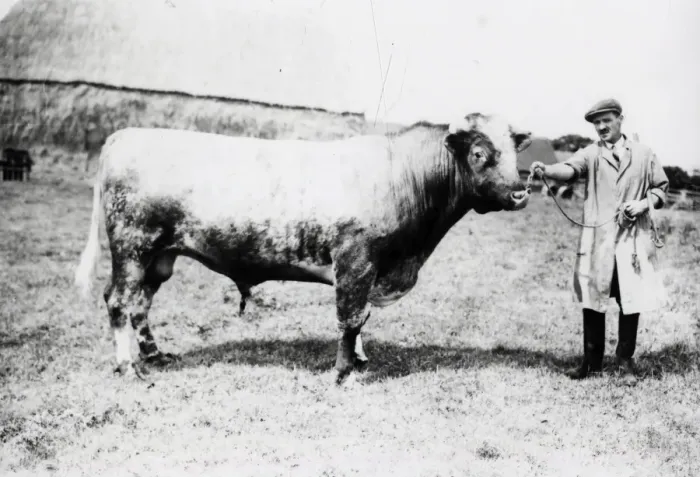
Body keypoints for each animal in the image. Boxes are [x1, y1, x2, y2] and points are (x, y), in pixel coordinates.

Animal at [74, 112, 532, 385]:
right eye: (479, 152)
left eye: (514, 153)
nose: (519, 193)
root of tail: (125, 135)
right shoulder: (355, 260)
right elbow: (351, 317)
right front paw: (344, 373)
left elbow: (360, 320)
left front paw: (359, 360)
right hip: (133, 246)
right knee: (118, 301)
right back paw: (129, 366)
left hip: (160, 256)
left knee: (140, 303)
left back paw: (154, 355)